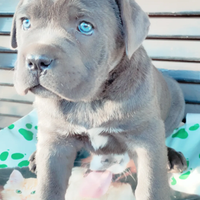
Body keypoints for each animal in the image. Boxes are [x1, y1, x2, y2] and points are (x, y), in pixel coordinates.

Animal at [11, 0, 185, 200]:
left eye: (85, 27)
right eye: (26, 22)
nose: (36, 61)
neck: (90, 100)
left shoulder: (146, 137)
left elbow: (151, 185)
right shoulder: (56, 144)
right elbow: (48, 185)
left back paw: (172, 157)